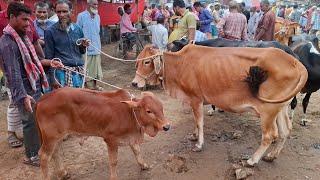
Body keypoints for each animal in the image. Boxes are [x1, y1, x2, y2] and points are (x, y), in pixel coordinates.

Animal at [133, 45, 308, 167]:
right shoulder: (193, 100)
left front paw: (199, 144)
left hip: (268, 111)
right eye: (138, 61)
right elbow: (195, 121)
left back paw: (252, 160)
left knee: (269, 135)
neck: (180, 64)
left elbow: (199, 122)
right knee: (286, 130)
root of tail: (294, 62)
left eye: (147, 61)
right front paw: (194, 135)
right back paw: (272, 156)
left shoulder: (196, 98)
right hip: (281, 108)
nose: (134, 83)